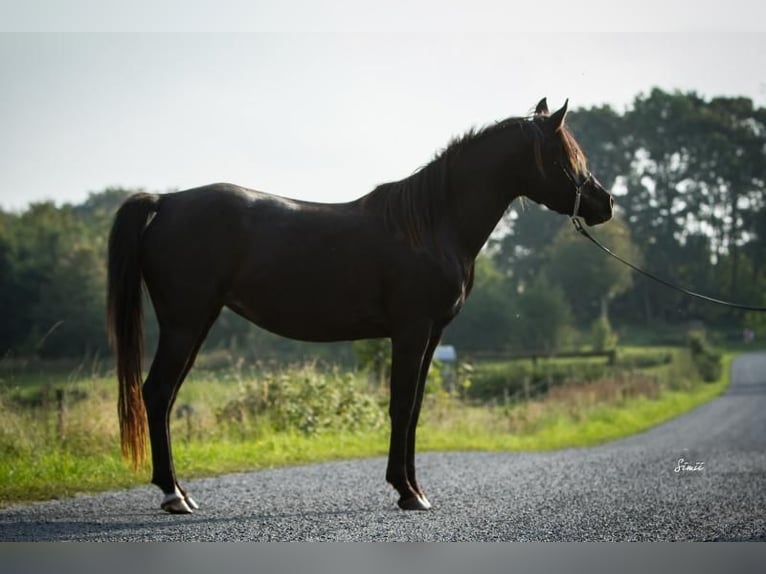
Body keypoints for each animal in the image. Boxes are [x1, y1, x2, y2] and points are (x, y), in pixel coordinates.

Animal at [108, 97, 616, 516]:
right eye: (564, 157)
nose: (604, 203)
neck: (432, 224)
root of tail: (166, 202)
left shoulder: (432, 334)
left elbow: (415, 408)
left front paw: (414, 489)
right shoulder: (411, 330)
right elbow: (401, 405)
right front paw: (408, 492)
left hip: (198, 322)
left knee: (166, 397)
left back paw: (181, 492)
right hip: (185, 322)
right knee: (157, 393)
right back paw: (173, 495)